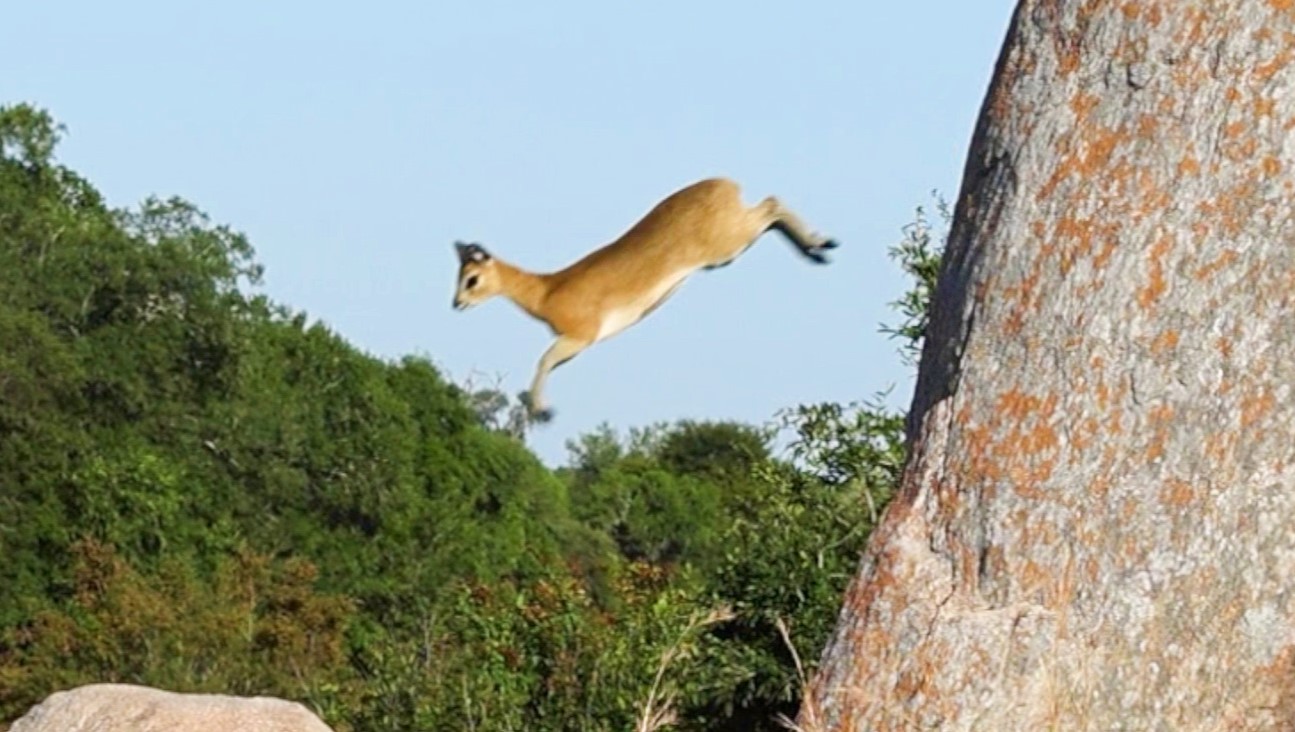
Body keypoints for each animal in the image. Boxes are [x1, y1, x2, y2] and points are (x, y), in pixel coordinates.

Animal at [451, 177, 838, 421]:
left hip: (726, 248)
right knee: (772, 211)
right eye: (459, 275)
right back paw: (818, 249)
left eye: (472, 279)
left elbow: (542, 362)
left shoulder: (579, 337)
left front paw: (543, 412)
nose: (456, 303)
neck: (548, 290)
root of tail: (725, 183)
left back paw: (821, 244)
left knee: (772, 205)